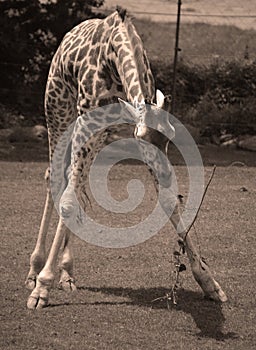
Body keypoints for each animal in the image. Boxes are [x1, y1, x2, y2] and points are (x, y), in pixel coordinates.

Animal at [25, 7, 226, 308]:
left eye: (170, 137)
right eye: (142, 135)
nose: (166, 172)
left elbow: (170, 201)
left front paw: (209, 283)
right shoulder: (89, 126)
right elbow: (68, 201)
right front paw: (41, 288)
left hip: (96, 139)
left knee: (75, 182)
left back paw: (68, 274)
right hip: (59, 113)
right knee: (55, 177)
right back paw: (34, 271)